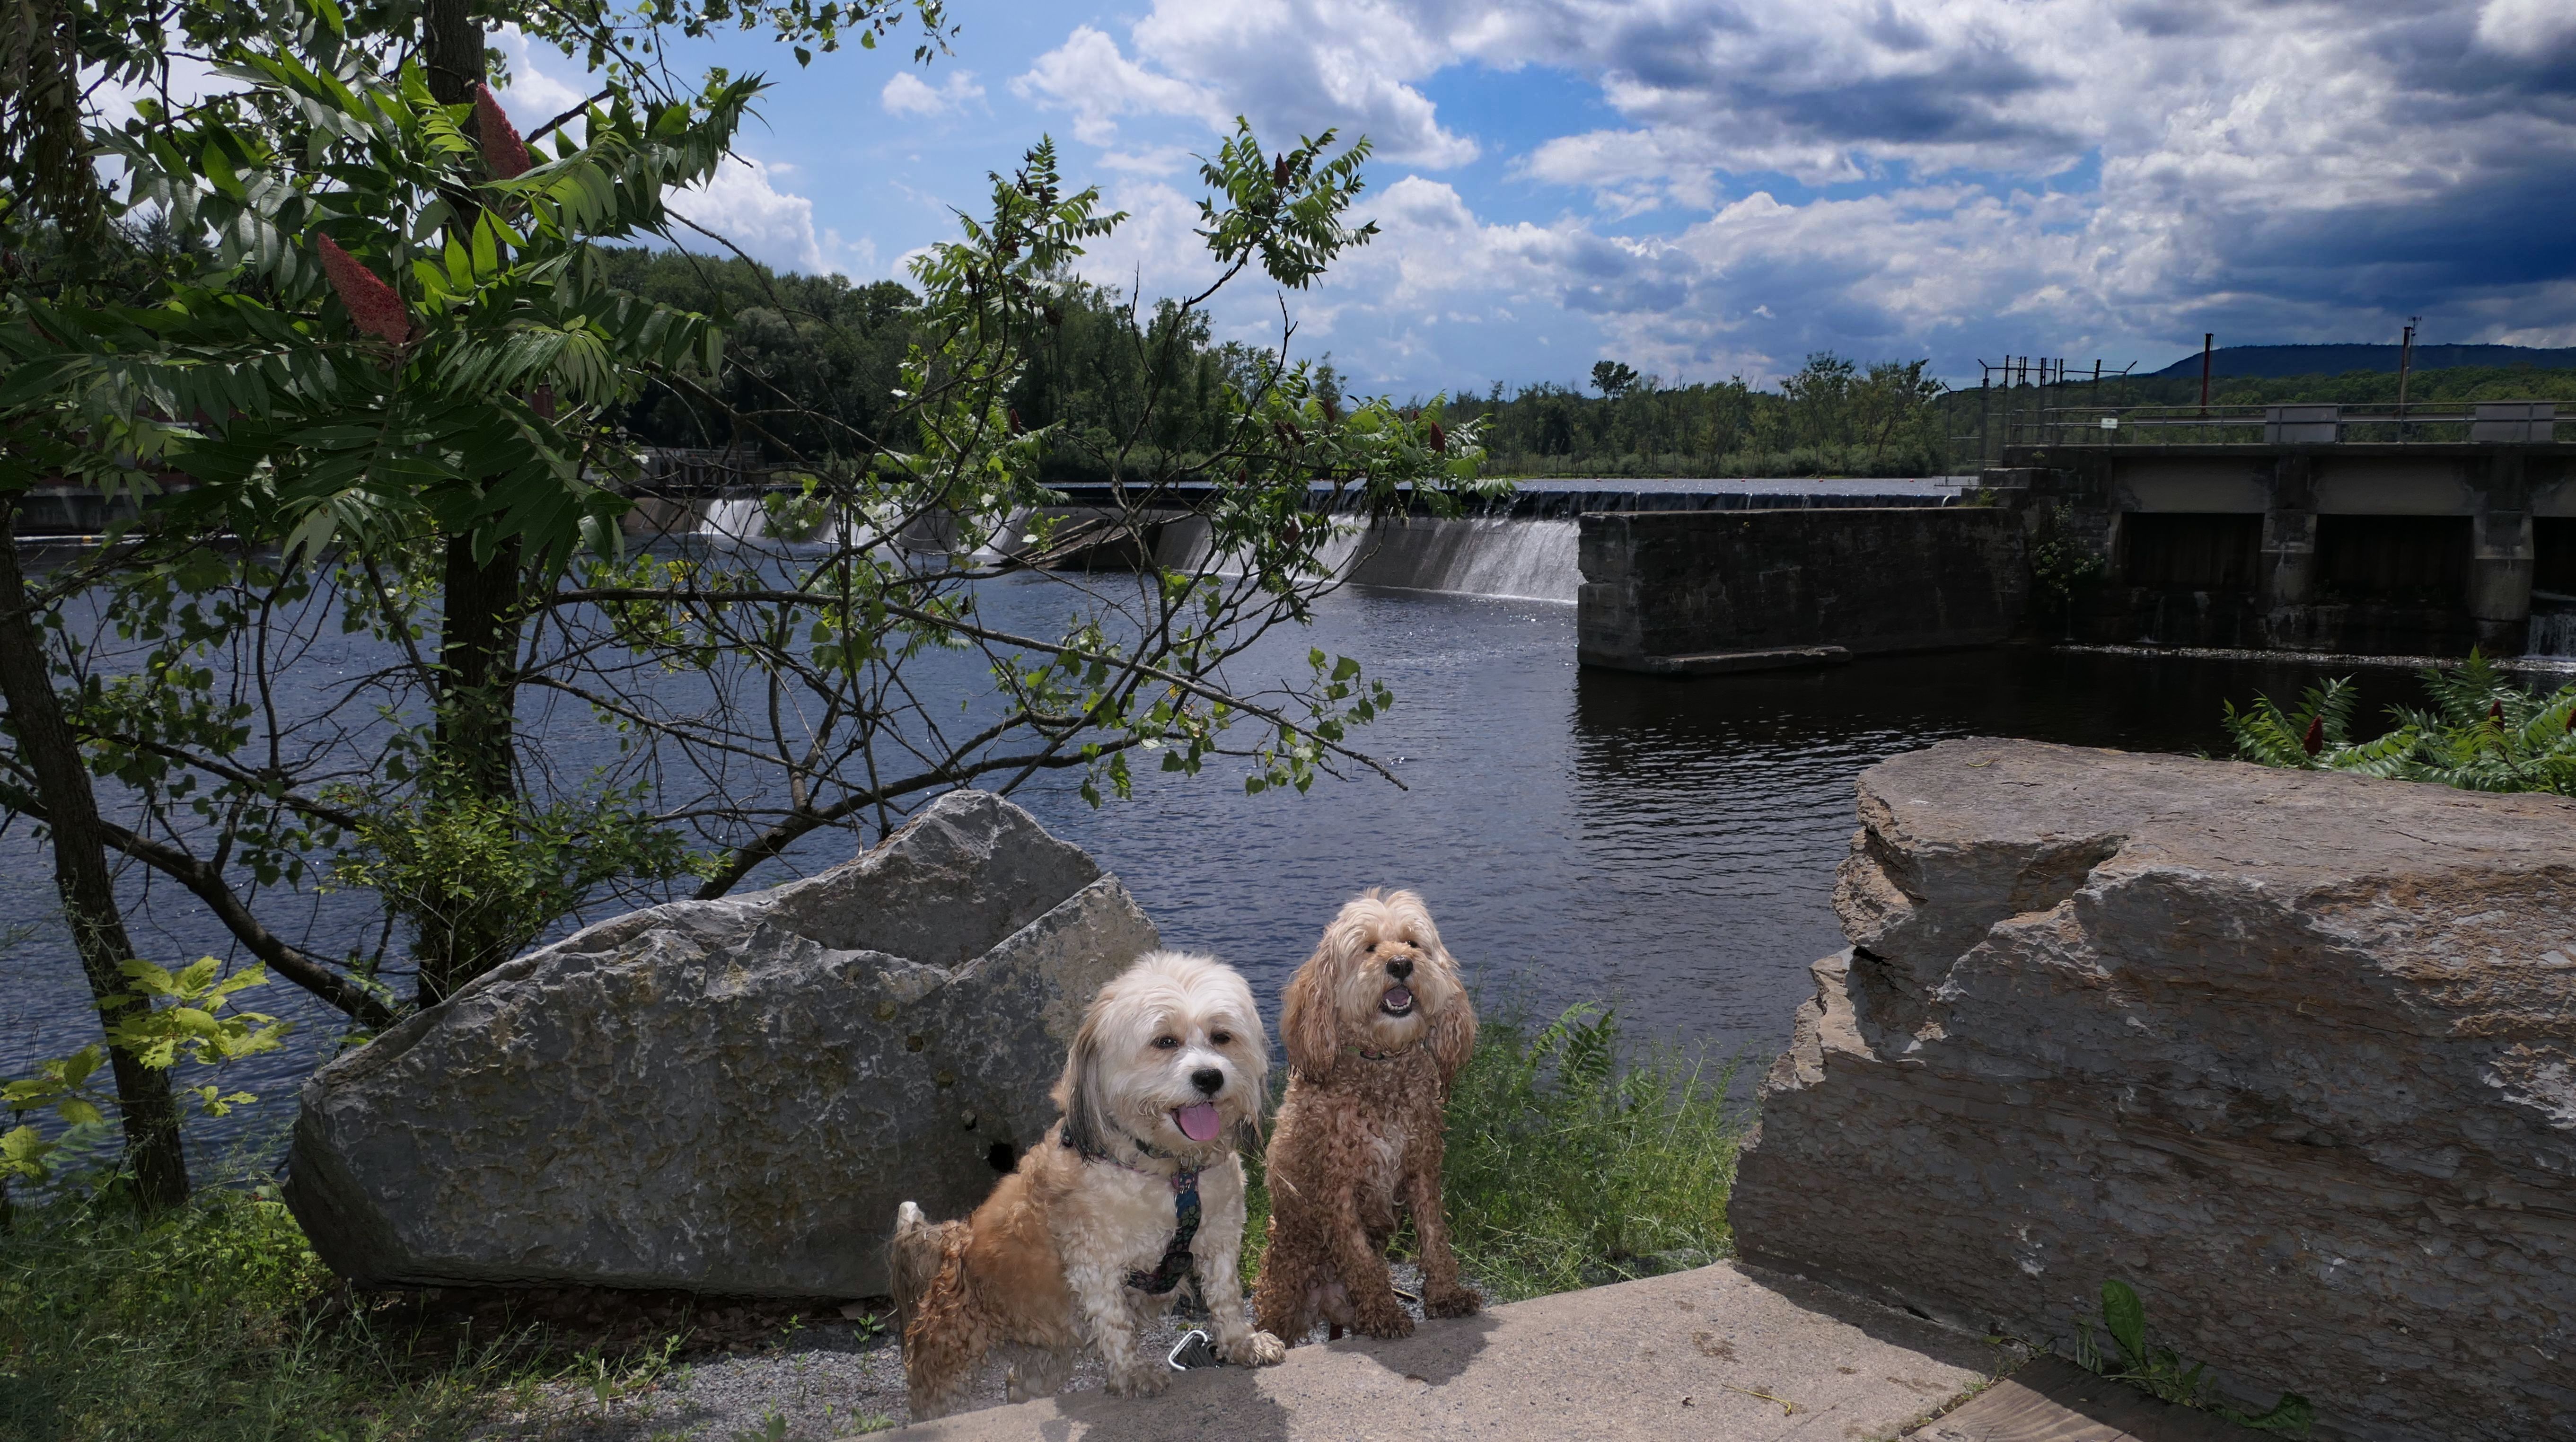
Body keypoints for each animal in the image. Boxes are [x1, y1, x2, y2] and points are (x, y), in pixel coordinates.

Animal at [889, 950, 1286, 1419]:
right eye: (1164, 1041)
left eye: (1222, 1036)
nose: (1210, 1077)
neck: (1170, 1172)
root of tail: (955, 1242)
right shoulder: (1095, 1260)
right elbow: (1114, 1323)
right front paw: (1132, 1374)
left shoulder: (1220, 1238)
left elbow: (1226, 1296)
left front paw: (1242, 1344)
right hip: (946, 1361)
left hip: (1045, 1356)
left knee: (1018, 1383)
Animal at [1251, 888, 1481, 1343]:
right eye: (1369, 947)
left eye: (1413, 943)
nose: (1401, 964)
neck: (1380, 1068)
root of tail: (1324, 1304)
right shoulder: (1335, 1189)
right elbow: (1361, 1258)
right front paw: (1384, 1313)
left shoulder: (1422, 1169)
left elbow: (1434, 1238)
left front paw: (1446, 1296)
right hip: (1281, 1289)